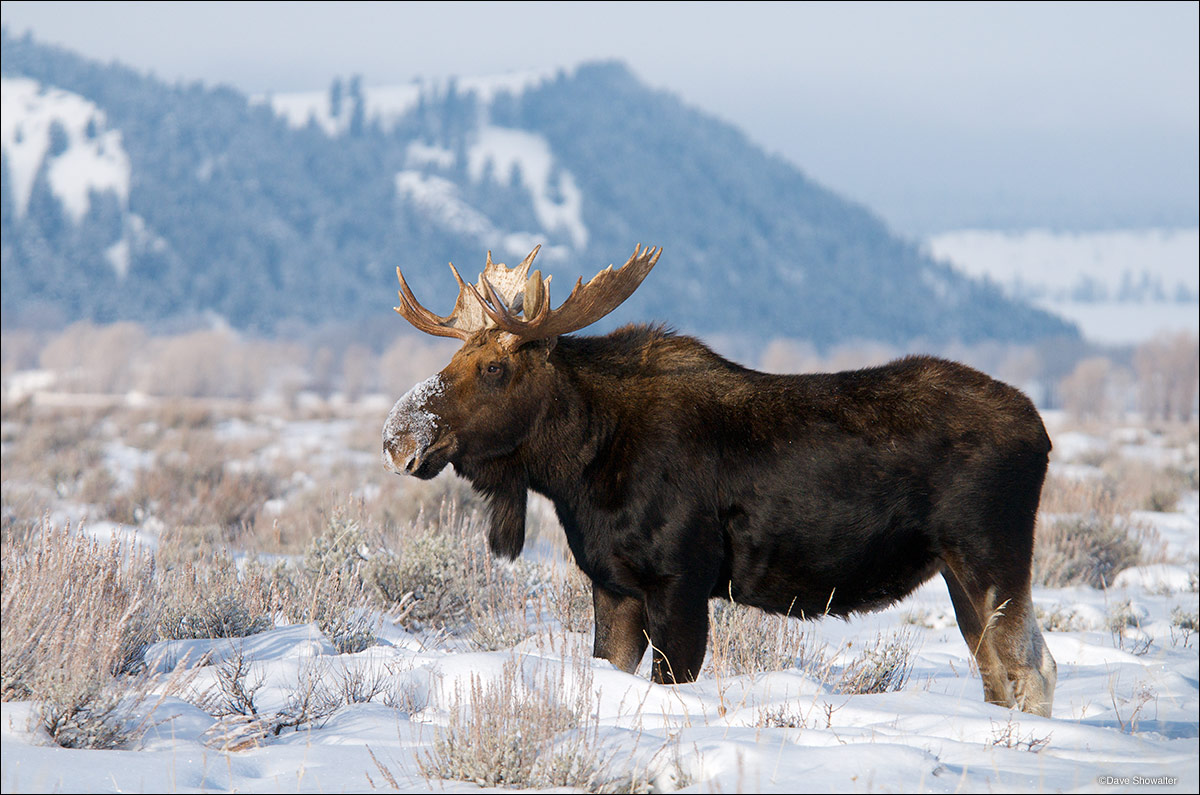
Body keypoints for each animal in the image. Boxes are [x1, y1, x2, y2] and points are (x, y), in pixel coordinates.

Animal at [384, 246, 1060, 720]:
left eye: (494, 367)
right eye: (454, 358)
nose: (397, 437)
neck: (579, 467)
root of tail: (1041, 431)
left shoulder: (681, 582)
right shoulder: (613, 585)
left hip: (991, 557)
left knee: (1034, 668)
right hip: (958, 572)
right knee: (1003, 673)